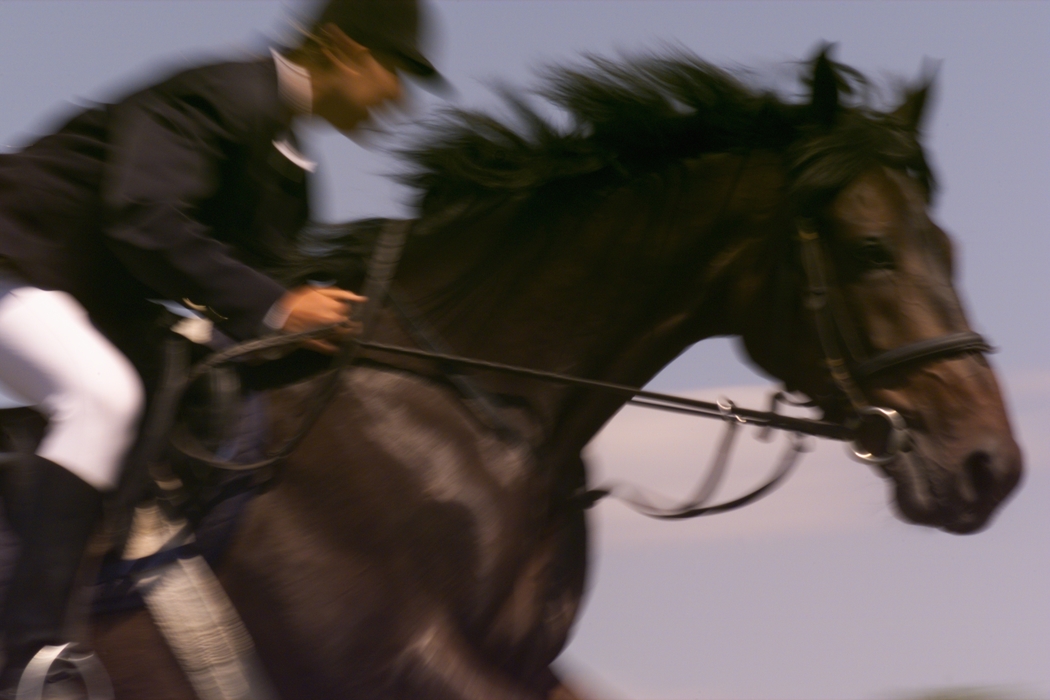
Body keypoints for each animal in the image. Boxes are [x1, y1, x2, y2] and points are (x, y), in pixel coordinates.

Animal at [55, 48, 1024, 696]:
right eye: (870, 251)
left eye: (946, 247)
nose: (993, 467)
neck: (479, 415)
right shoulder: (389, 658)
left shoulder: (524, 665)